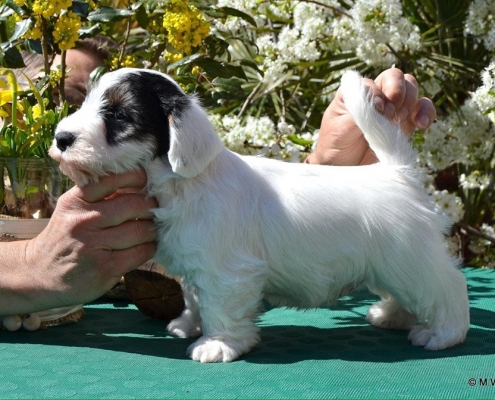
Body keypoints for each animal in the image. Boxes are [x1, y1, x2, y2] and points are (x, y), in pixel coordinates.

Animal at [49, 68, 468, 362]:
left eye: (120, 115)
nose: (61, 138)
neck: (182, 182)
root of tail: (398, 173)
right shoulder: (199, 265)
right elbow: (195, 296)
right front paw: (189, 324)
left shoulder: (227, 271)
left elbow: (220, 305)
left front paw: (218, 344)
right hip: (394, 264)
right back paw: (393, 315)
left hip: (409, 258)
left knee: (446, 287)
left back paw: (442, 333)